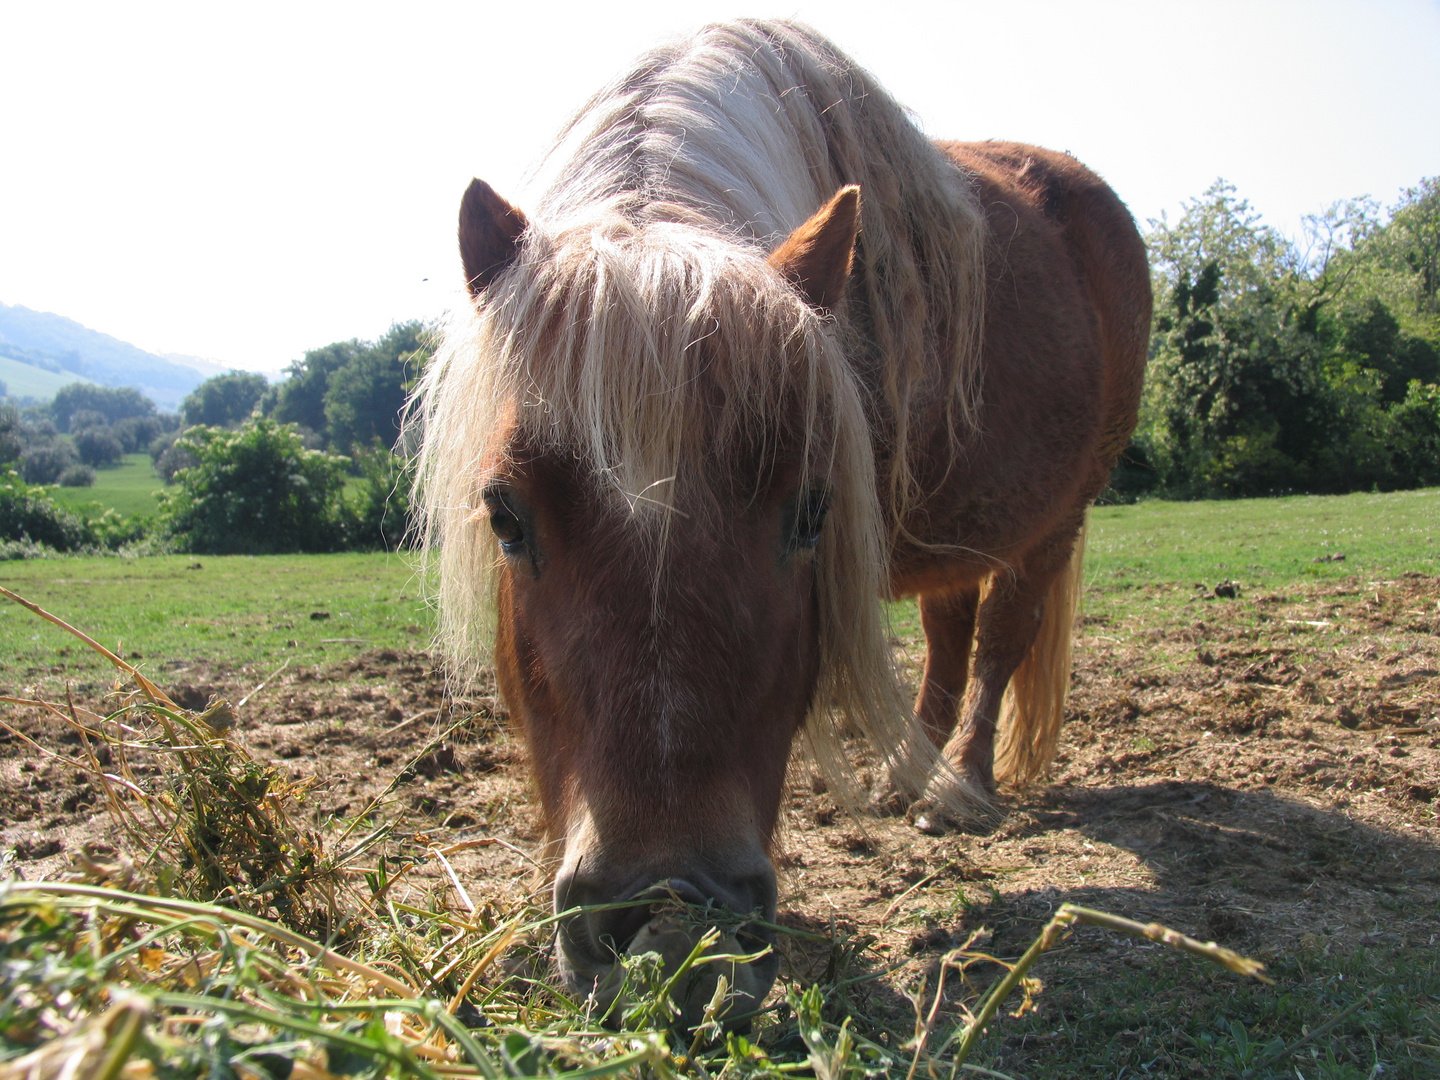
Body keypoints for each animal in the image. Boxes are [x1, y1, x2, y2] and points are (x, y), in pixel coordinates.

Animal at [414, 21, 1146, 1025]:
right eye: (505, 516)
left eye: (809, 512)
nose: (670, 919)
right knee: (950, 629)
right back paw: (904, 773)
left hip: (1057, 519)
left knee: (1000, 636)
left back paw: (958, 785)